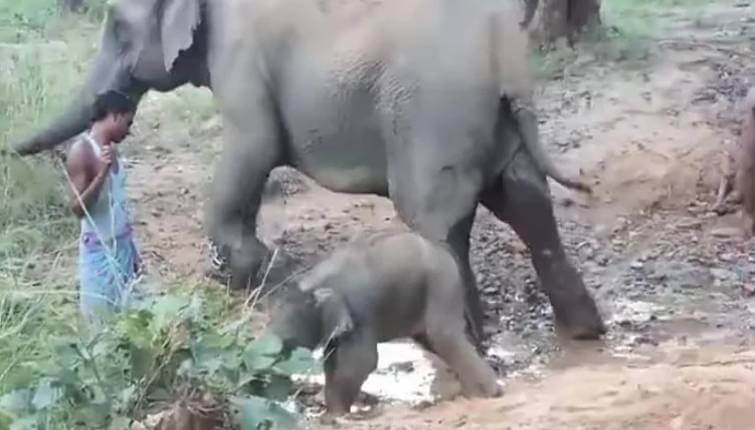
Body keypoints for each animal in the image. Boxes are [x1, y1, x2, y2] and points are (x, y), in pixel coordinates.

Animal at [10, 0, 608, 344]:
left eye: (116, 25)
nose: (11, 150)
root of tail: (506, 55)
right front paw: (252, 270)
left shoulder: (241, 57)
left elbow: (251, 147)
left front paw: (239, 274)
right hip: (496, 119)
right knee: (527, 202)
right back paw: (583, 332)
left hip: (434, 115)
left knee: (436, 222)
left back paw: (456, 340)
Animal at [268, 232, 504, 416]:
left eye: (289, 343)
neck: (312, 283)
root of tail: (444, 251)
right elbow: (333, 360)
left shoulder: (359, 312)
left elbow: (361, 362)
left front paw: (333, 416)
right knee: (432, 341)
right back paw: (471, 393)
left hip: (441, 285)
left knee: (444, 337)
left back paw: (488, 394)